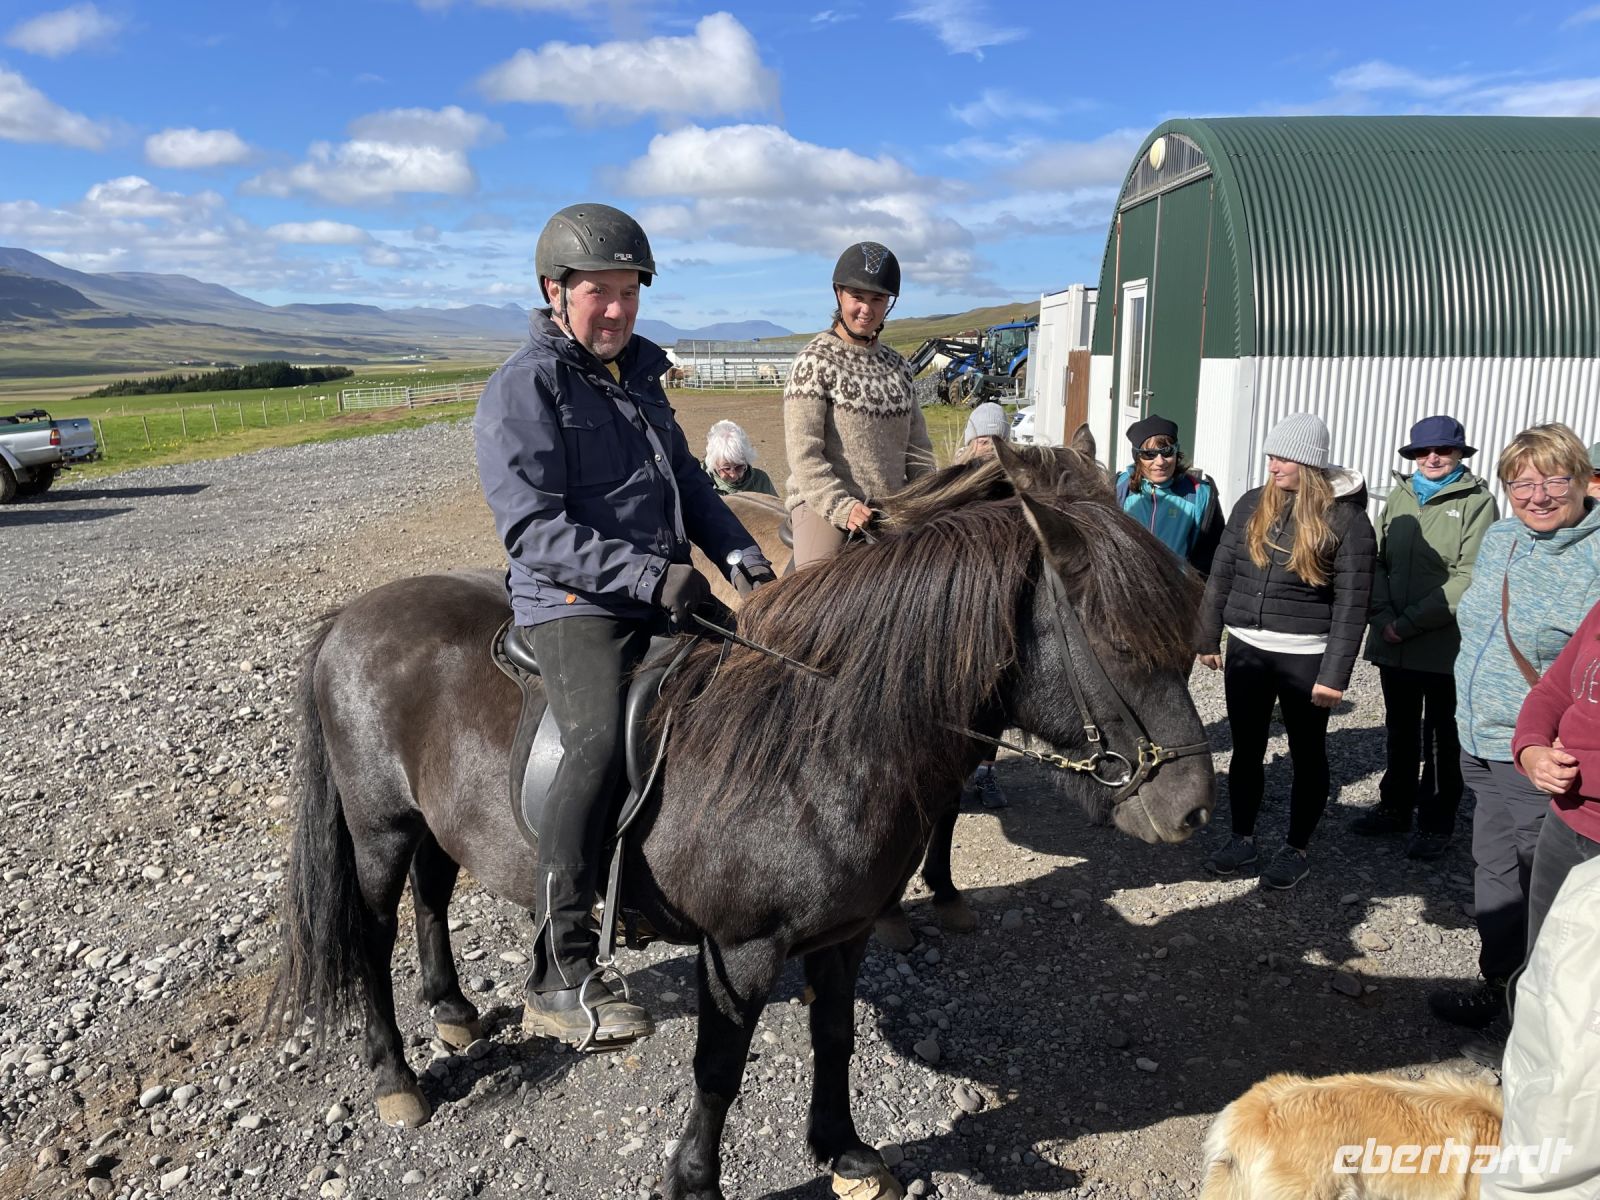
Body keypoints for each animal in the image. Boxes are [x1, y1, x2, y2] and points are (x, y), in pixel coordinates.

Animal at [269, 441, 1213, 1200]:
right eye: (1116, 638)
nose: (1195, 807)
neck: (816, 741)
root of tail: (353, 616)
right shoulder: (739, 950)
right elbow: (719, 1071)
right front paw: (694, 1181)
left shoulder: (843, 933)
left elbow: (834, 1036)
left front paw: (844, 1151)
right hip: (380, 827)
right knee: (372, 934)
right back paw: (396, 1075)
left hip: (433, 820)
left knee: (432, 895)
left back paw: (454, 1008)